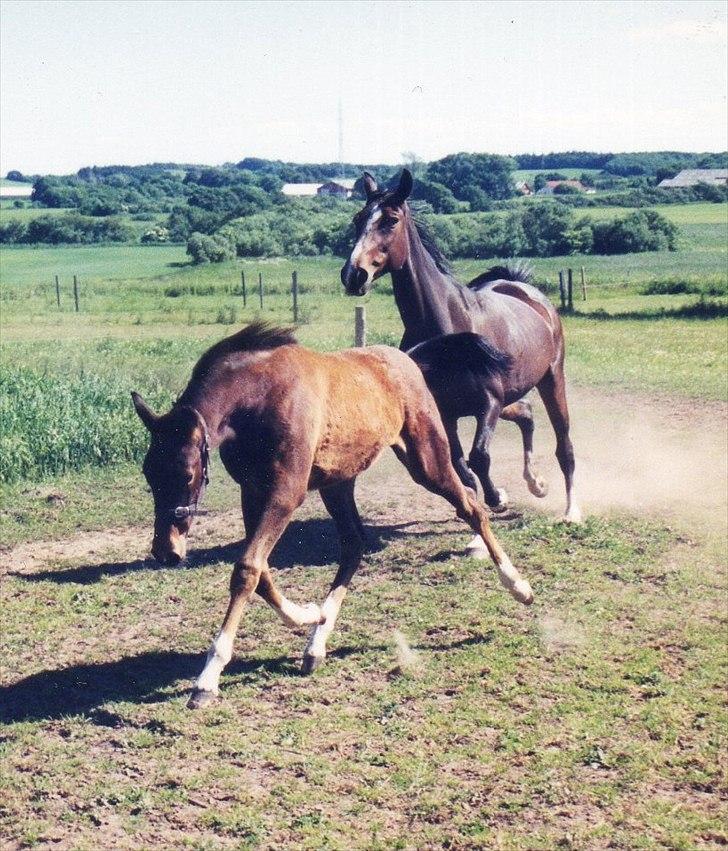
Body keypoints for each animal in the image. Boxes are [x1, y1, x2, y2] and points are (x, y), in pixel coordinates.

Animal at [131, 322, 532, 708]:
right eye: (148, 472)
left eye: (186, 474)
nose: (166, 551)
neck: (258, 400)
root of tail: (408, 359)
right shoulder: (253, 493)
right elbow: (260, 572)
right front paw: (310, 614)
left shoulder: (285, 494)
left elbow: (247, 569)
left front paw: (208, 678)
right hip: (338, 482)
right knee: (354, 544)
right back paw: (316, 642)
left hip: (426, 459)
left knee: (470, 506)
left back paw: (520, 586)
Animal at [338, 171, 584, 540]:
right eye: (358, 219)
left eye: (390, 220)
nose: (354, 275)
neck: (446, 334)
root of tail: (523, 289)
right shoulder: (446, 413)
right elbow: (462, 468)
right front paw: (483, 515)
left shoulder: (489, 404)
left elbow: (479, 457)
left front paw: (497, 499)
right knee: (526, 414)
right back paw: (535, 483)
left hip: (552, 378)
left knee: (563, 444)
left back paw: (570, 511)